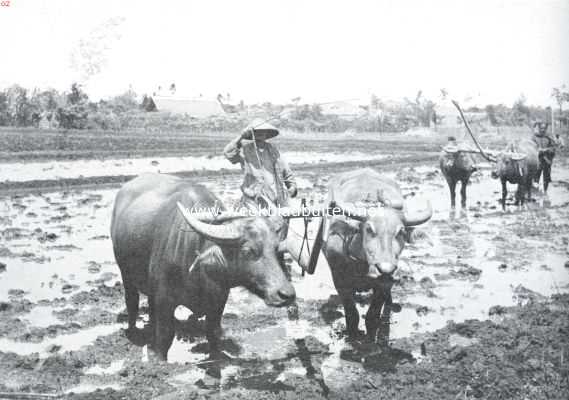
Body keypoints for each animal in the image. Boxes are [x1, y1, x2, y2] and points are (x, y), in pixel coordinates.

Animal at [111, 173, 298, 360]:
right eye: (248, 251)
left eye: (277, 249)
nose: (287, 294)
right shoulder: (165, 299)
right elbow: (165, 335)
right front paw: (159, 359)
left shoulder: (218, 300)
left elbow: (213, 332)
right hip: (126, 275)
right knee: (132, 302)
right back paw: (133, 331)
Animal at [320, 168, 430, 340]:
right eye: (369, 229)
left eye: (401, 232)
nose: (385, 270)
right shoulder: (339, 278)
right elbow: (352, 314)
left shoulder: (383, 284)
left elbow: (372, 316)